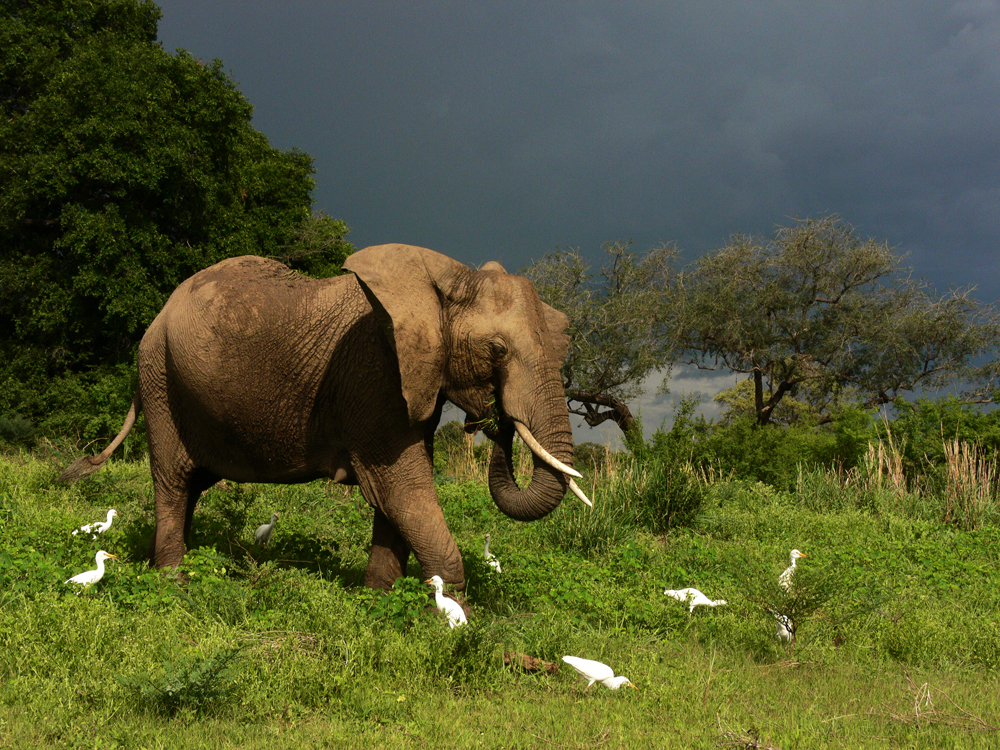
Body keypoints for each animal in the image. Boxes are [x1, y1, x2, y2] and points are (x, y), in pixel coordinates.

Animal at [58, 247, 588, 592]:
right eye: (497, 351)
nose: (495, 421)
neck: (452, 277)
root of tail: (159, 315)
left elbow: (398, 497)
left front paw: (377, 600)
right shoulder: (374, 377)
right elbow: (403, 486)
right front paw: (450, 618)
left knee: (190, 486)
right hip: (161, 379)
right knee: (172, 481)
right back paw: (174, 583)